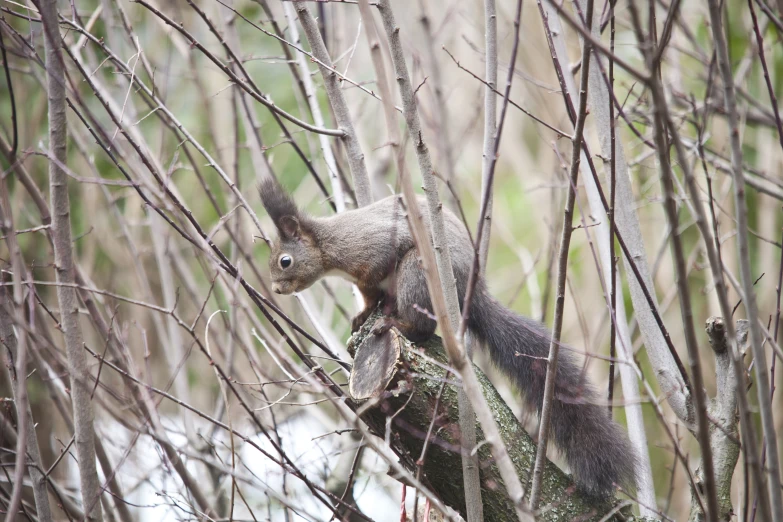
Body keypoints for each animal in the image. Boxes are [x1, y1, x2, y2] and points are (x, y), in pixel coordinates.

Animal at [258, 178, 636, 496]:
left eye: (285, 261)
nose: (276, 289)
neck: (327, 245)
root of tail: (472, 292)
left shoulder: (371, 250)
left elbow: (375, 276)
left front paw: (371, 313)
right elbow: (368, 297)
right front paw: (362, 314)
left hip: (417, 272)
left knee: (422, 326)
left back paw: (397, 324)